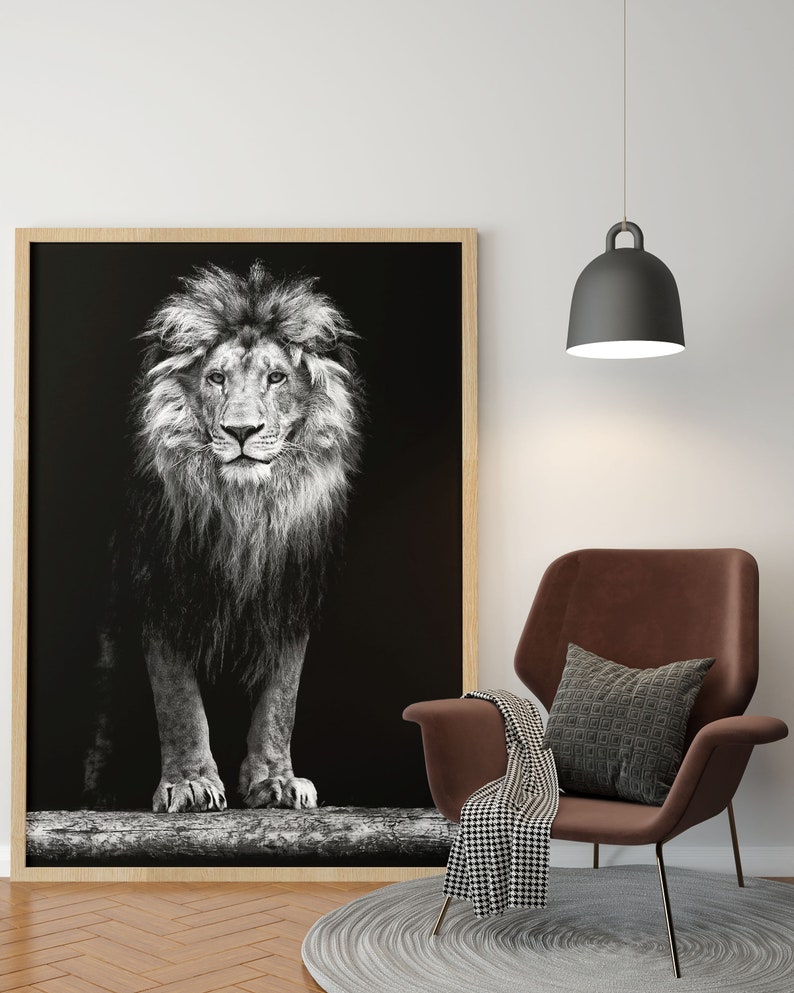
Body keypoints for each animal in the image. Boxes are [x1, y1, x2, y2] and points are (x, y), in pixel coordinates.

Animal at [83, 261, 363, 813]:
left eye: (276, 377)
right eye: (216, 378)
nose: (240, 431)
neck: (246, 513)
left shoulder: (289, 598)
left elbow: (280, 702)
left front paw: (276, 781)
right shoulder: (164, 592)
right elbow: (179, 703)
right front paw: (190, 783)